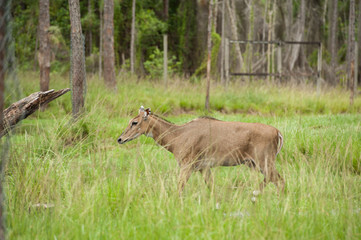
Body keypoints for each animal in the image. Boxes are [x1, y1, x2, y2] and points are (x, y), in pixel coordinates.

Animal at [118, 106, 284, 196]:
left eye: (134, 122)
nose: (120, 139)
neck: (177, 136)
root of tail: (277, 132)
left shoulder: (187, 165)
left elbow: (179, 188)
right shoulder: (203, 168)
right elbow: (211, 188)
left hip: (264, 161)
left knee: (279, 181)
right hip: (253, 163)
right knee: (272, 180)